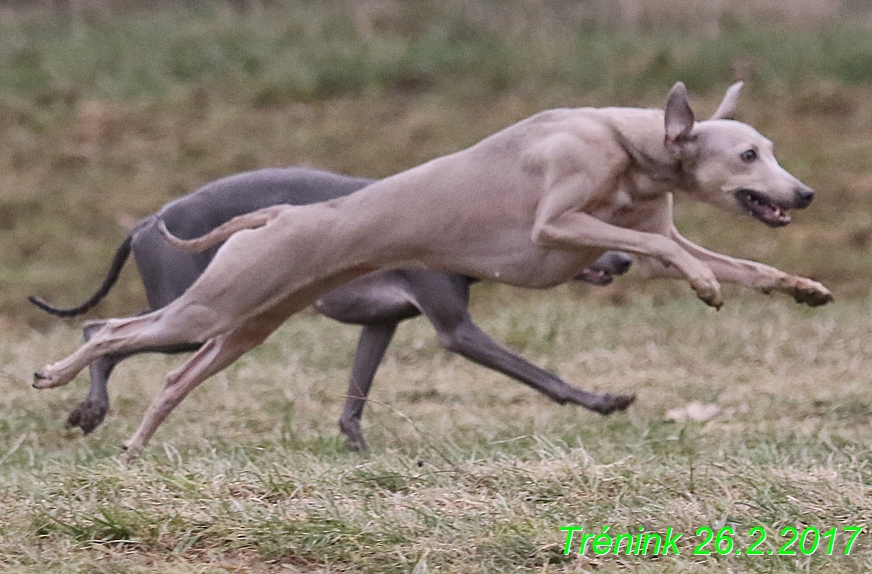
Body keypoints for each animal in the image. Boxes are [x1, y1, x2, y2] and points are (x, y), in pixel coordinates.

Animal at [32, 169, 632, 452]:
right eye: (583, 219)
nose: (626, 259)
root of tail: (145, 221)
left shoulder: (381, 324)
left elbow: (354, 398)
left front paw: (359, 449)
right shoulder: (456, 330)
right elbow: (542, 375)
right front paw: (602, 400)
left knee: (106, 331)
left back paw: (88, 407)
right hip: (195, 311)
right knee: (101, 328)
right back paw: (87, 404)